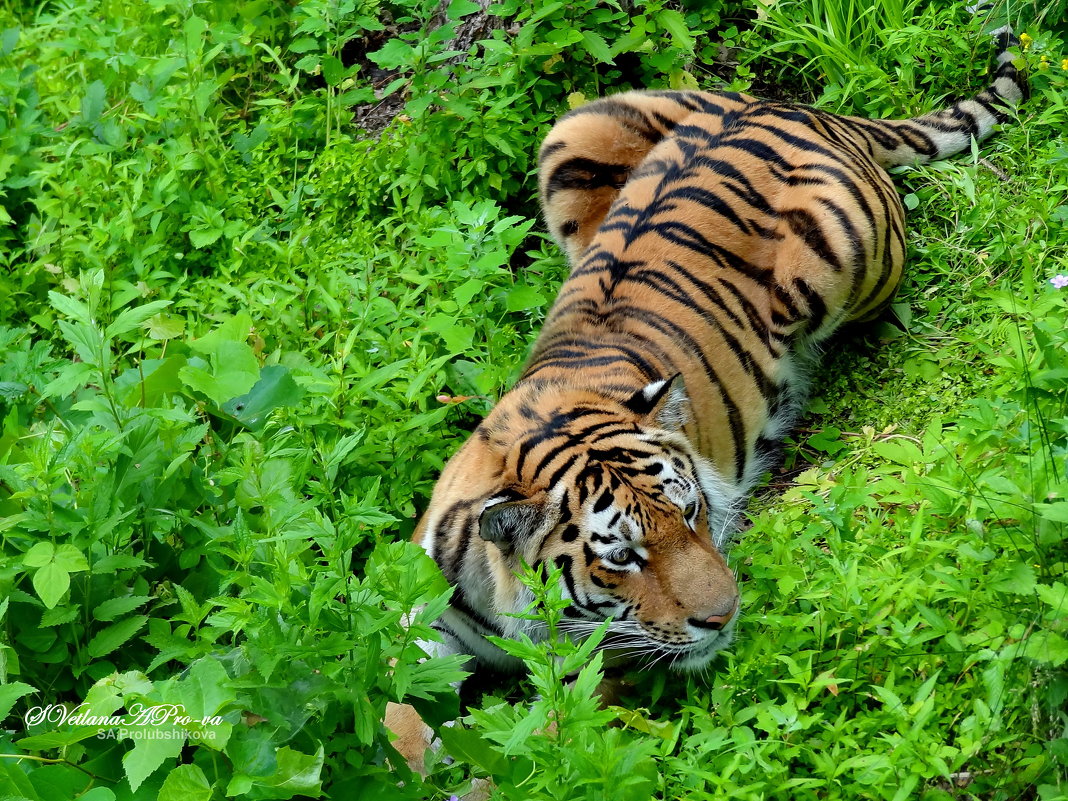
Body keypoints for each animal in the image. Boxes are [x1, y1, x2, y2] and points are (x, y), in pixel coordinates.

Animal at [386, 28, 1025, 773]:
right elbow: (393, 705)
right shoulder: (416, 610)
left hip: (842, 260)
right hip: (571, 135)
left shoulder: (597, 669)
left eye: (691, 513)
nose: (725, 616)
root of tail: (790, 107)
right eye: (622, 557)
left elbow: (536, 750)